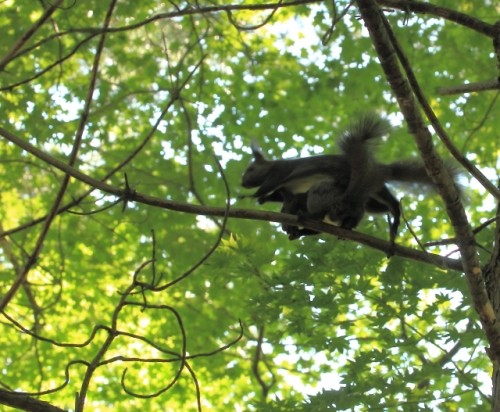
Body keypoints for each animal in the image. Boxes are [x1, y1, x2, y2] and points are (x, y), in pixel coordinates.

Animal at [242, 112, 460, 248]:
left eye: (250, 169)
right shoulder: (287, 192)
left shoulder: (281, 173)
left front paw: (249, 197)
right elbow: (277, 196)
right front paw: (266, 203)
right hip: (367, 202)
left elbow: (271, 187)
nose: (242, 182)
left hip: (333, 192)